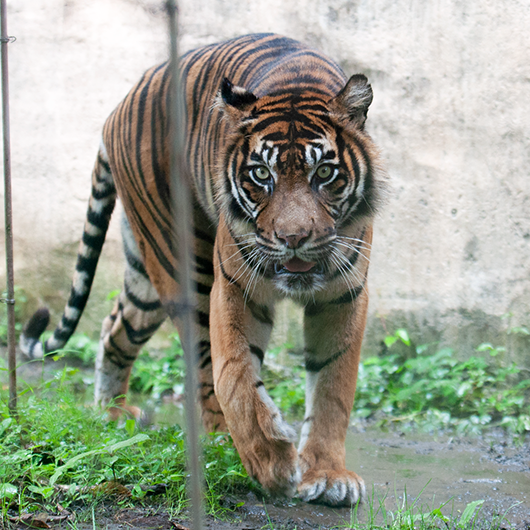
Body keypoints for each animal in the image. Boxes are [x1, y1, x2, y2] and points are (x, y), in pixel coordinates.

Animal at [19, 33, 384, 504]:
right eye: (261, 174)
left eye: (324, 172)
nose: (293, 237)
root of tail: (118, 106)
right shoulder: (234, 288)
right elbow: (235, 376)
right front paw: (271, 463)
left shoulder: (342, 295)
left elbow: (332, 388)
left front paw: (327, 474)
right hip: (181, 263)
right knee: (205, 365)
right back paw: (221, 438)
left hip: (145, 277)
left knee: (115, 326)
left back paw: (112, 413)